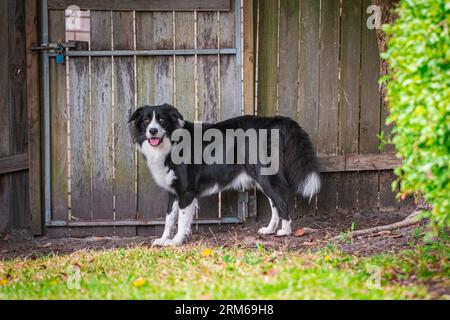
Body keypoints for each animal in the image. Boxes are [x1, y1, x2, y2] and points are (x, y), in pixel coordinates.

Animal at [128, 104, 322, 246]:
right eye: (146, 120)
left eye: (161, 119)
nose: (153, 131)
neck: (171, 142)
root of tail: (273, 121)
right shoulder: (174, 193)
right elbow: (169, 219)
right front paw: (163, 239)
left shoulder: (186, 192)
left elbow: (181, 220)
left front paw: (175, 241)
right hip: (262, 178)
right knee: (274, 203)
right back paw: (270, 230)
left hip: (266, 176)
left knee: (282, 201)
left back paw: (286, 231)